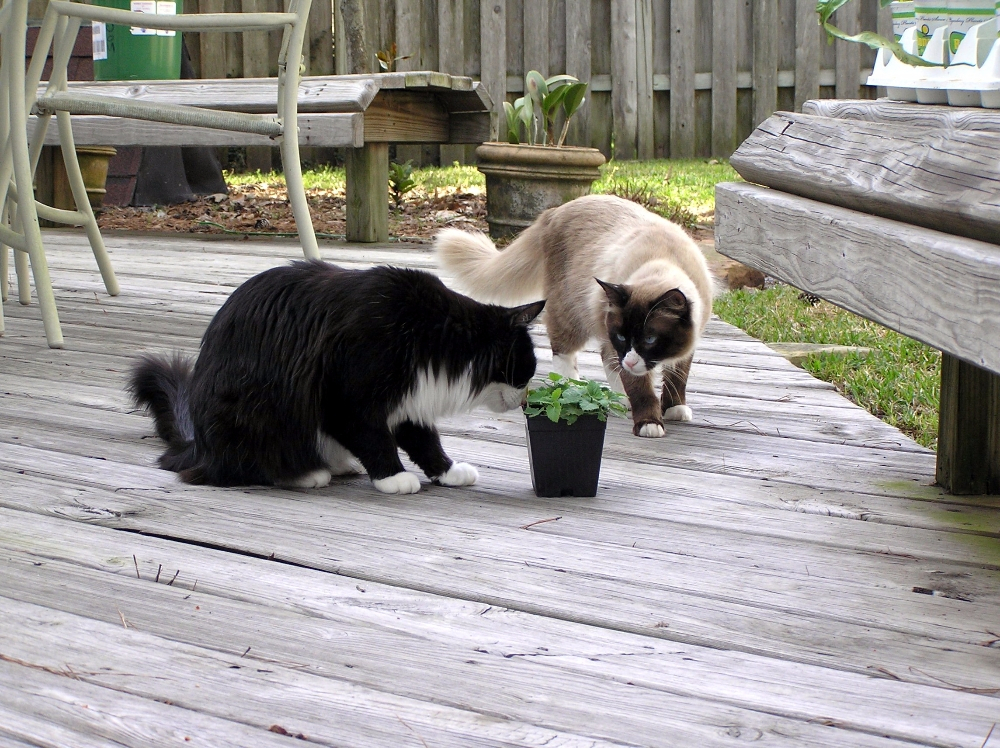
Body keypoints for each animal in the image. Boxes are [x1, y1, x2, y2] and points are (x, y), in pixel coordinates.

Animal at [131, 260, 548, 494]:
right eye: (526, 369)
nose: (526, 399)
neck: (433, 333)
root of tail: (199, 444)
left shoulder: (408, 400)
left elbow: (425, 442)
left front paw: (447, 472)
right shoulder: (346, 396)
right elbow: (376, 439)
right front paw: (392, 477)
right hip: (258, 406)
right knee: (233, 468)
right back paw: (304, 474)